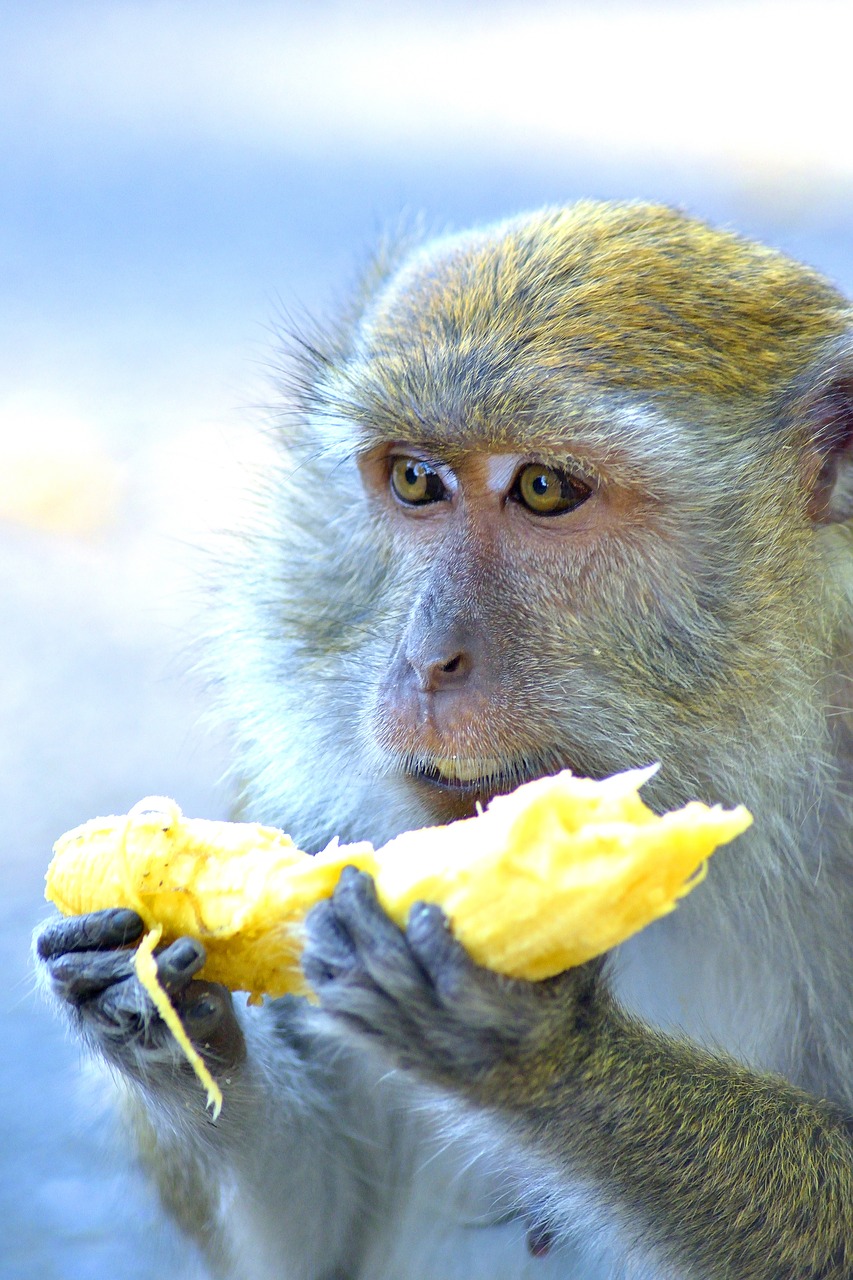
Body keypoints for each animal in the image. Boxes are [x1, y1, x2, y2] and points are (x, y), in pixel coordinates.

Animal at [36, 202, 850, 1280]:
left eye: (543, 488)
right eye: (415, 479)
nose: (425, 661)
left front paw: (543, 1055)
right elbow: (317, 1240)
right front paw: (149, 1004)